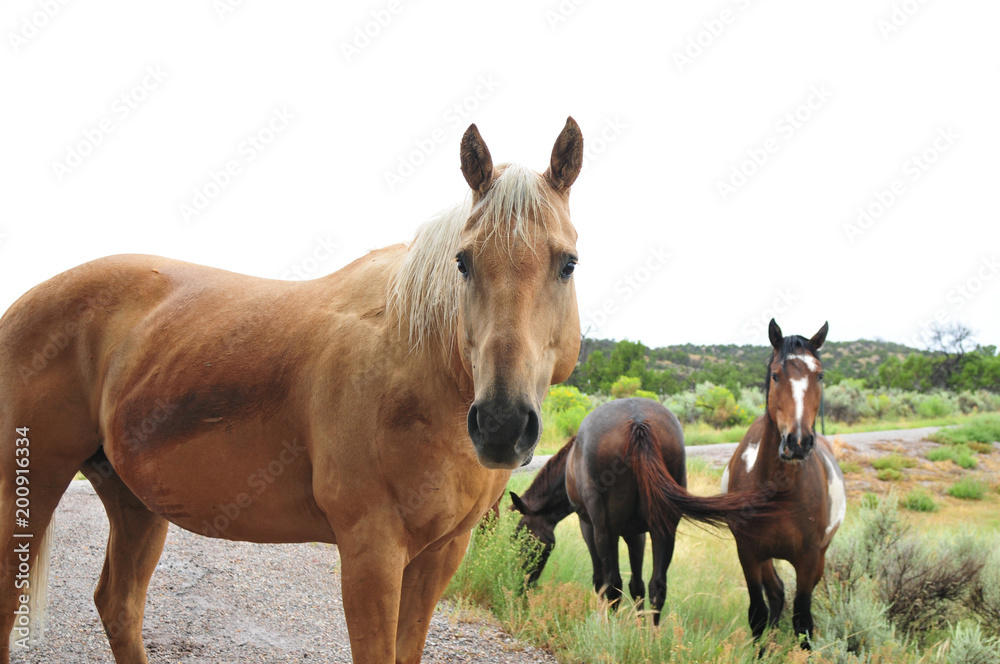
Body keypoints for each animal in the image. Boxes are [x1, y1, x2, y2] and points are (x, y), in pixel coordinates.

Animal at [0, 118, 586, 664]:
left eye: (567, 263)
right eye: (463, 262)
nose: (502, 425)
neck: (412, 363)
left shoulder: (441, 553)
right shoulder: (372, 552)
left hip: (133, 498)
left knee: (118, 604)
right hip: (31, 484)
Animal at [510, 397, 782, 625]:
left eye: (522, 539)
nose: (521, 584)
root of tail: (638, 423)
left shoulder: (587, 526)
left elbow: (602, 581)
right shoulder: (636, 534)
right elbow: (638, 586)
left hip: (605, 531)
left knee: (613, 584)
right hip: (664, 527)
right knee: (656, 586)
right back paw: (650, 638)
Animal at [721, 319, 845, 648]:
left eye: (820, 374)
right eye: (776, 375)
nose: (798, 442)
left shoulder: (808, 559)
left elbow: (803, 621)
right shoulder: (748, 553)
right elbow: (757, 614)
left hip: (819, 558)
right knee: (776, 593)